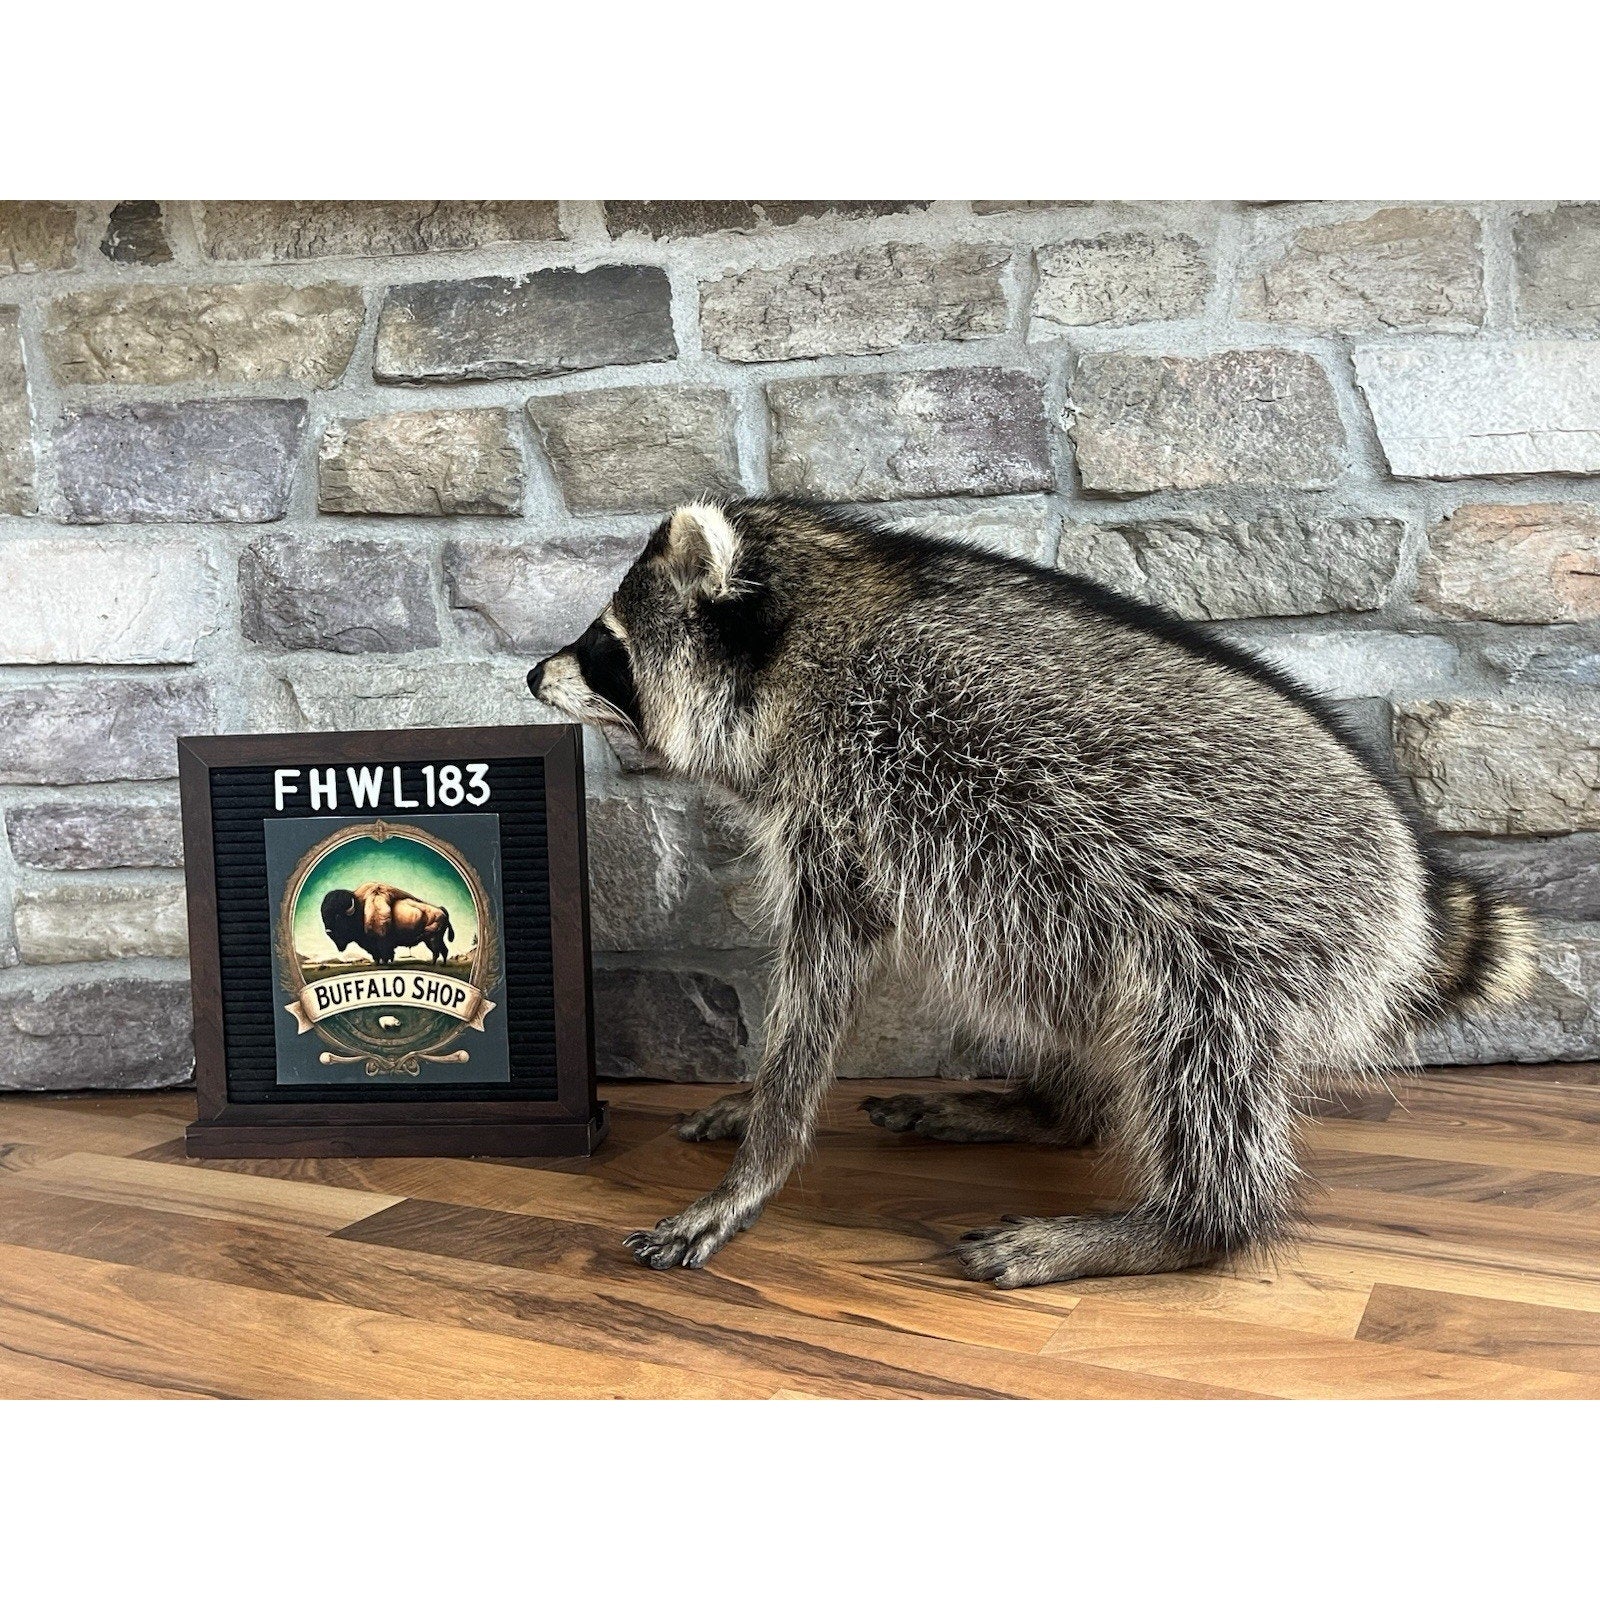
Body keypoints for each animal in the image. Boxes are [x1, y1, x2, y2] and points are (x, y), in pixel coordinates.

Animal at [530, 497, 1537, 1288]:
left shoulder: (846, 795)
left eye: (604, 645)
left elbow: (823, 980)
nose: (535, 673)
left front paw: (762, 1152)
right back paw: (1052, 1110)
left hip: (1252, 913)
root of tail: (1415, 881)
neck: (812, 628)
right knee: (1078, 1005)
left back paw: (1187, 1223)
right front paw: (758, 1099)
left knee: (1194, 1046)